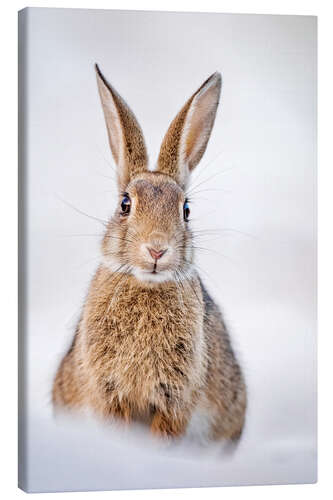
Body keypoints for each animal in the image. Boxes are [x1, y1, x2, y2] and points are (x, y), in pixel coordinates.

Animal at [50, 63, 245, 442]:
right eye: (124, 205)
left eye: (186, 210)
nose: (157, 249)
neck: (146, 285)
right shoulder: (109, 391)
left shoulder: (176, 397)